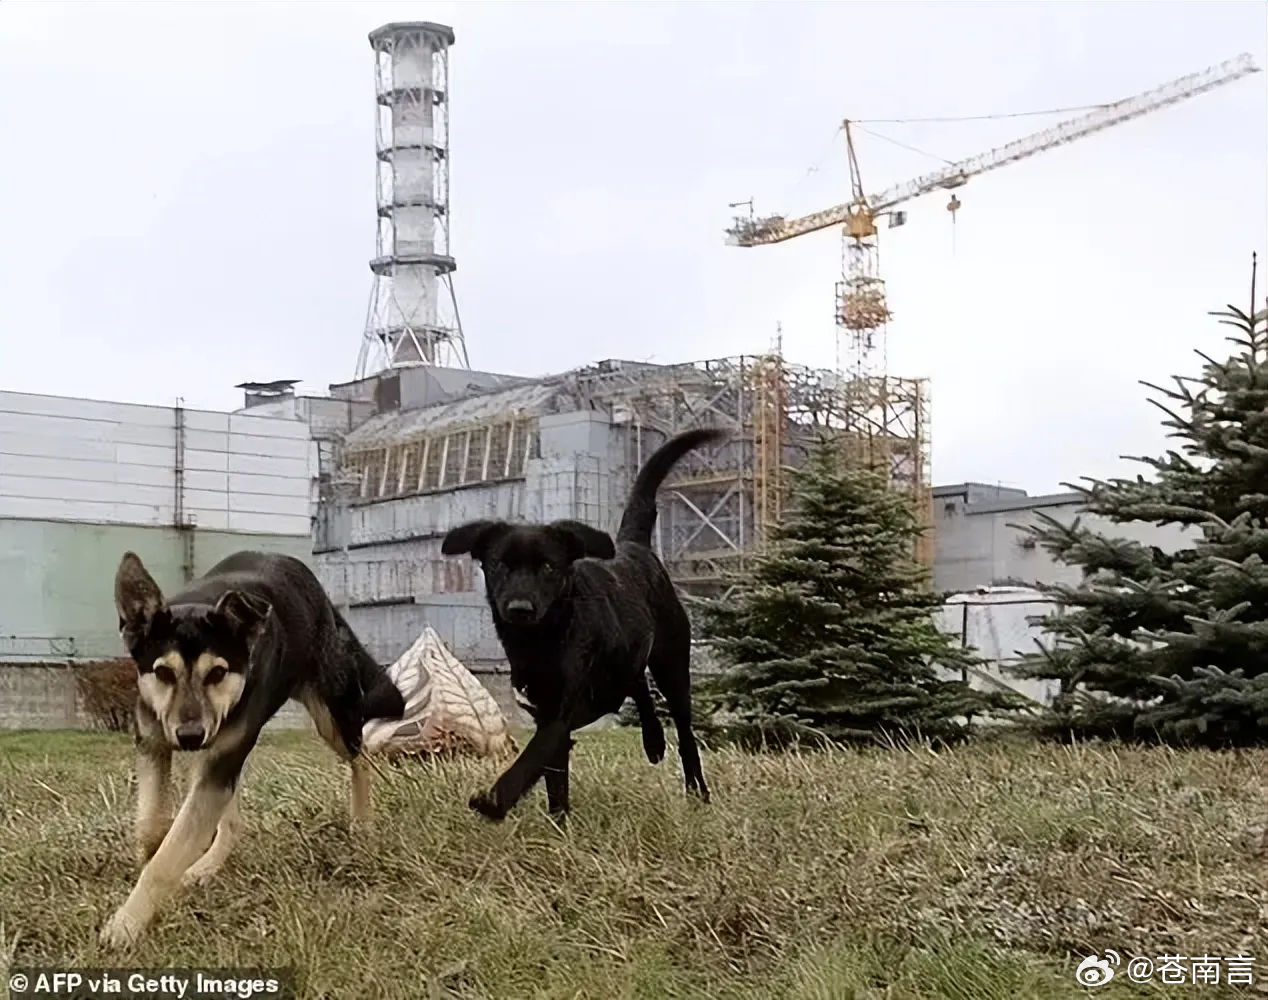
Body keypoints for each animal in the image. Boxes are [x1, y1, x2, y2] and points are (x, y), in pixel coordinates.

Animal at [443, 425, 725, 816]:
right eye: (499, 565)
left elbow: (530, 760)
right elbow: (554, 780)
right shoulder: (545, 714)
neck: (542, 641)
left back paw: (697, 791)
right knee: (636, 683)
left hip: (672, 665)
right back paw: (653, 741)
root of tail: (634, 546)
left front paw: (495, 801)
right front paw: (558, 820)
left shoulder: (558, 716)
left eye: (548, 567)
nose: (519, 608)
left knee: (684, 733)